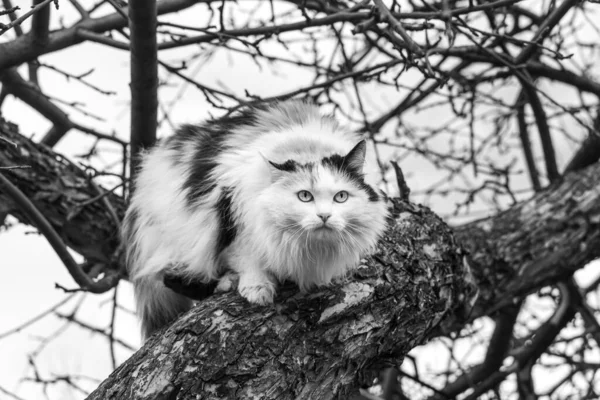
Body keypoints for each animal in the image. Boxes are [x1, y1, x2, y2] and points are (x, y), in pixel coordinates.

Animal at [124, 99, 392, 338]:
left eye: (341, 197)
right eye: (305, 196)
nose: (324, 216)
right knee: (173, 276)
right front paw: (257, 289)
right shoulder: (231, 210)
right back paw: (226, 282)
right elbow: (246, 255)